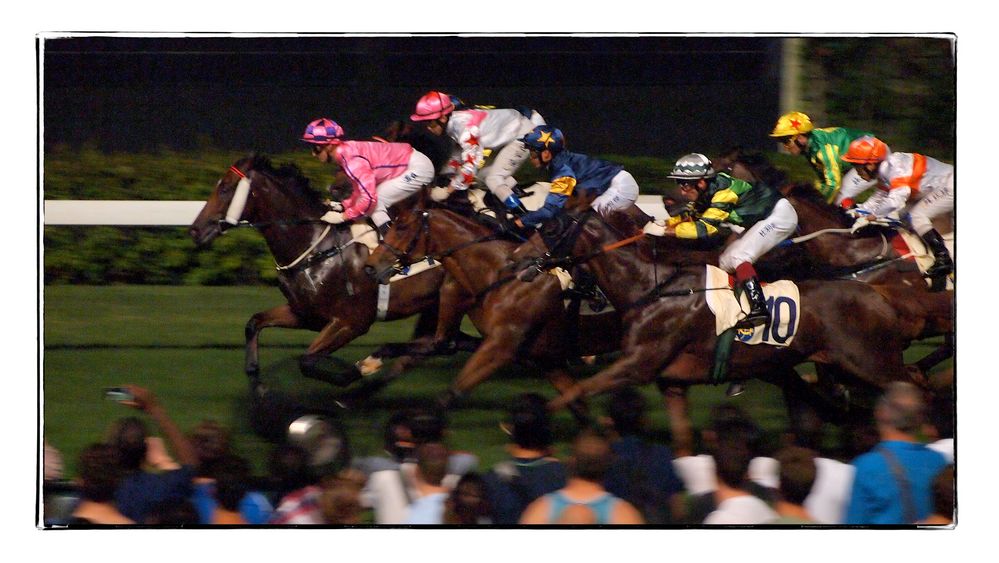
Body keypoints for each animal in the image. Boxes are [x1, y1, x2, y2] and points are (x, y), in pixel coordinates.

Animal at [192, 154, 484, 396]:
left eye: (225, 188)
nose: (196, 230)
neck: (316, 248)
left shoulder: (351, 321)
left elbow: (307, 361)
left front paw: (361, 370)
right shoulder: (306, 314)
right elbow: (254, 323)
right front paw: (257, 383)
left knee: (448, 343)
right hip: (436, 306)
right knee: (452, 342)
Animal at [364, 193, 620, 418]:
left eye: (402, 227)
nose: (370, 266)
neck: (498, 274)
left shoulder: (499, 348)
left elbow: (451, 392)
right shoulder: (539, 357)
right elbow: (579, 405)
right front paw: (368, 368)